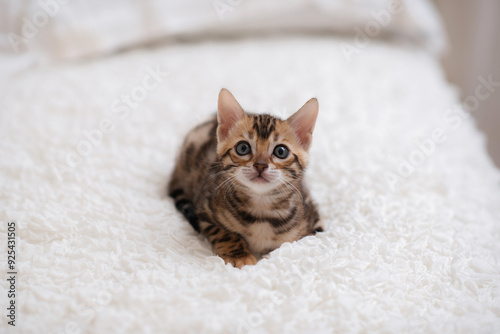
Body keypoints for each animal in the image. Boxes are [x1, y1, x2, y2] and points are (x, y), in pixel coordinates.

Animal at [169, 88, 324, 268]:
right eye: (243, 148)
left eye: (281, 151)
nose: (260, 165)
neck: (262, 211)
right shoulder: (203, 210)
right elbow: (223, 232)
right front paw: (238, 255)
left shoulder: (314, 221)